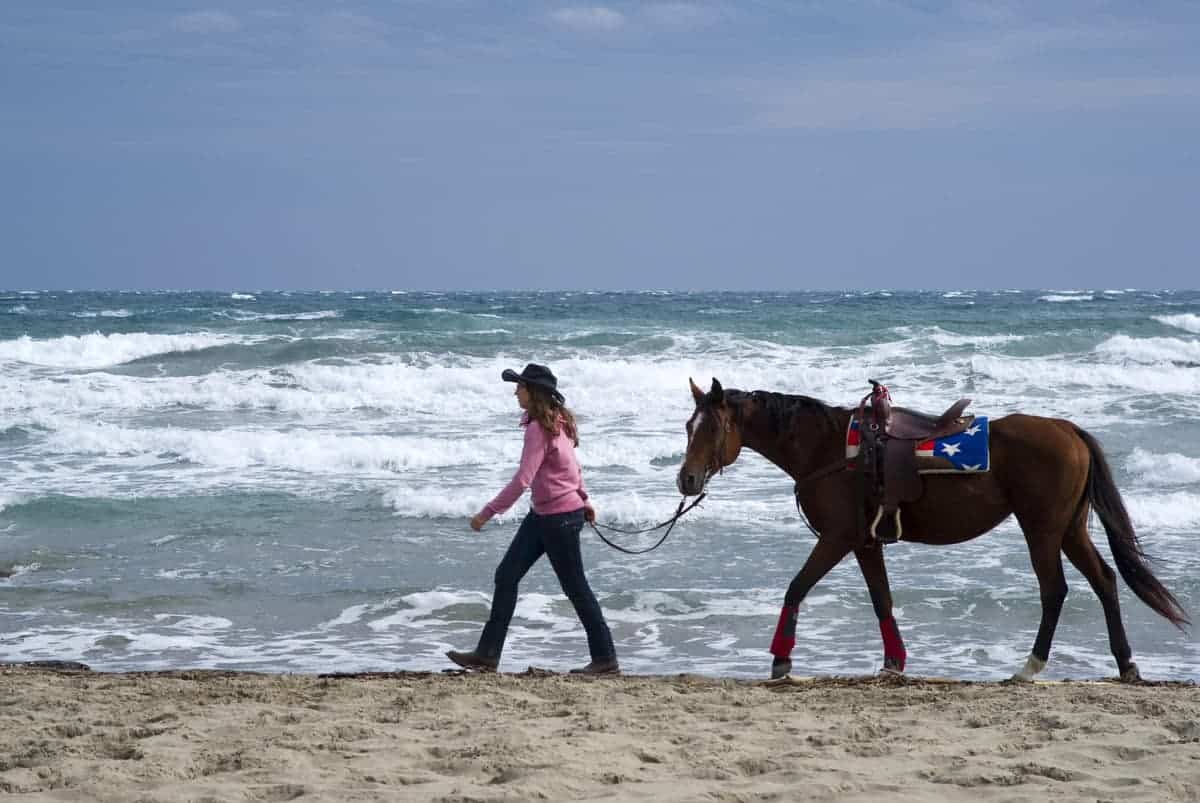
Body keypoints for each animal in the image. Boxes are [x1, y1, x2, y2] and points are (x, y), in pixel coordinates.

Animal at [681, 379, 1185, 681]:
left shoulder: (838, 538)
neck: (828, 449)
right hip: (1069, 529)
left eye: (713, 428)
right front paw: (894, 662)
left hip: (1042, 529)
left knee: (1054, 590)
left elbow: (796, 587)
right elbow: (881, 599)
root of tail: (1067, 430)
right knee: (1104, 581)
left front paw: (781, 658)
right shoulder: (865, 542)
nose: (686, 480)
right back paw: (1126, 663)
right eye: (689, 425)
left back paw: (1030, 666)